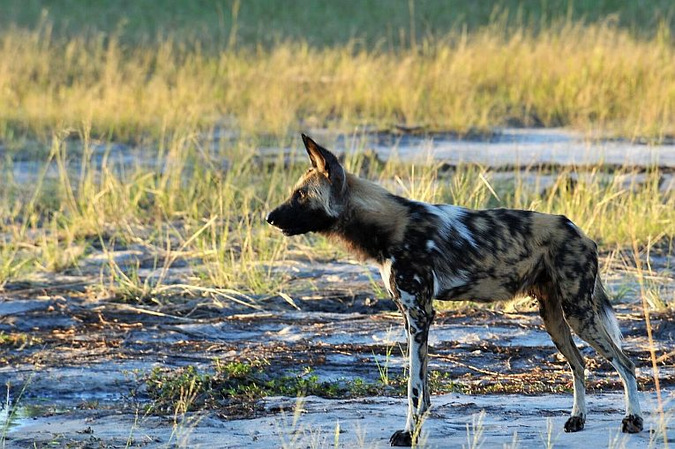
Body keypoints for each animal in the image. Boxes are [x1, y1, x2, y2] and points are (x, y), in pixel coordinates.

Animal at [266, 135, 644, 446]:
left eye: (300, 195)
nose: (269, 217)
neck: (382, 225)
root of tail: (579, 230)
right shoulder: (413, 317)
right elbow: (423, 387)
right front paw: (416, 429)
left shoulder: (419, 315)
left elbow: (413, 388)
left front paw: (408, 434)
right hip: (554, 317)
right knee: (579, 364)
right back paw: (577, 418)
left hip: (579, 313)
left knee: (625, 362)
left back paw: (633, 419)